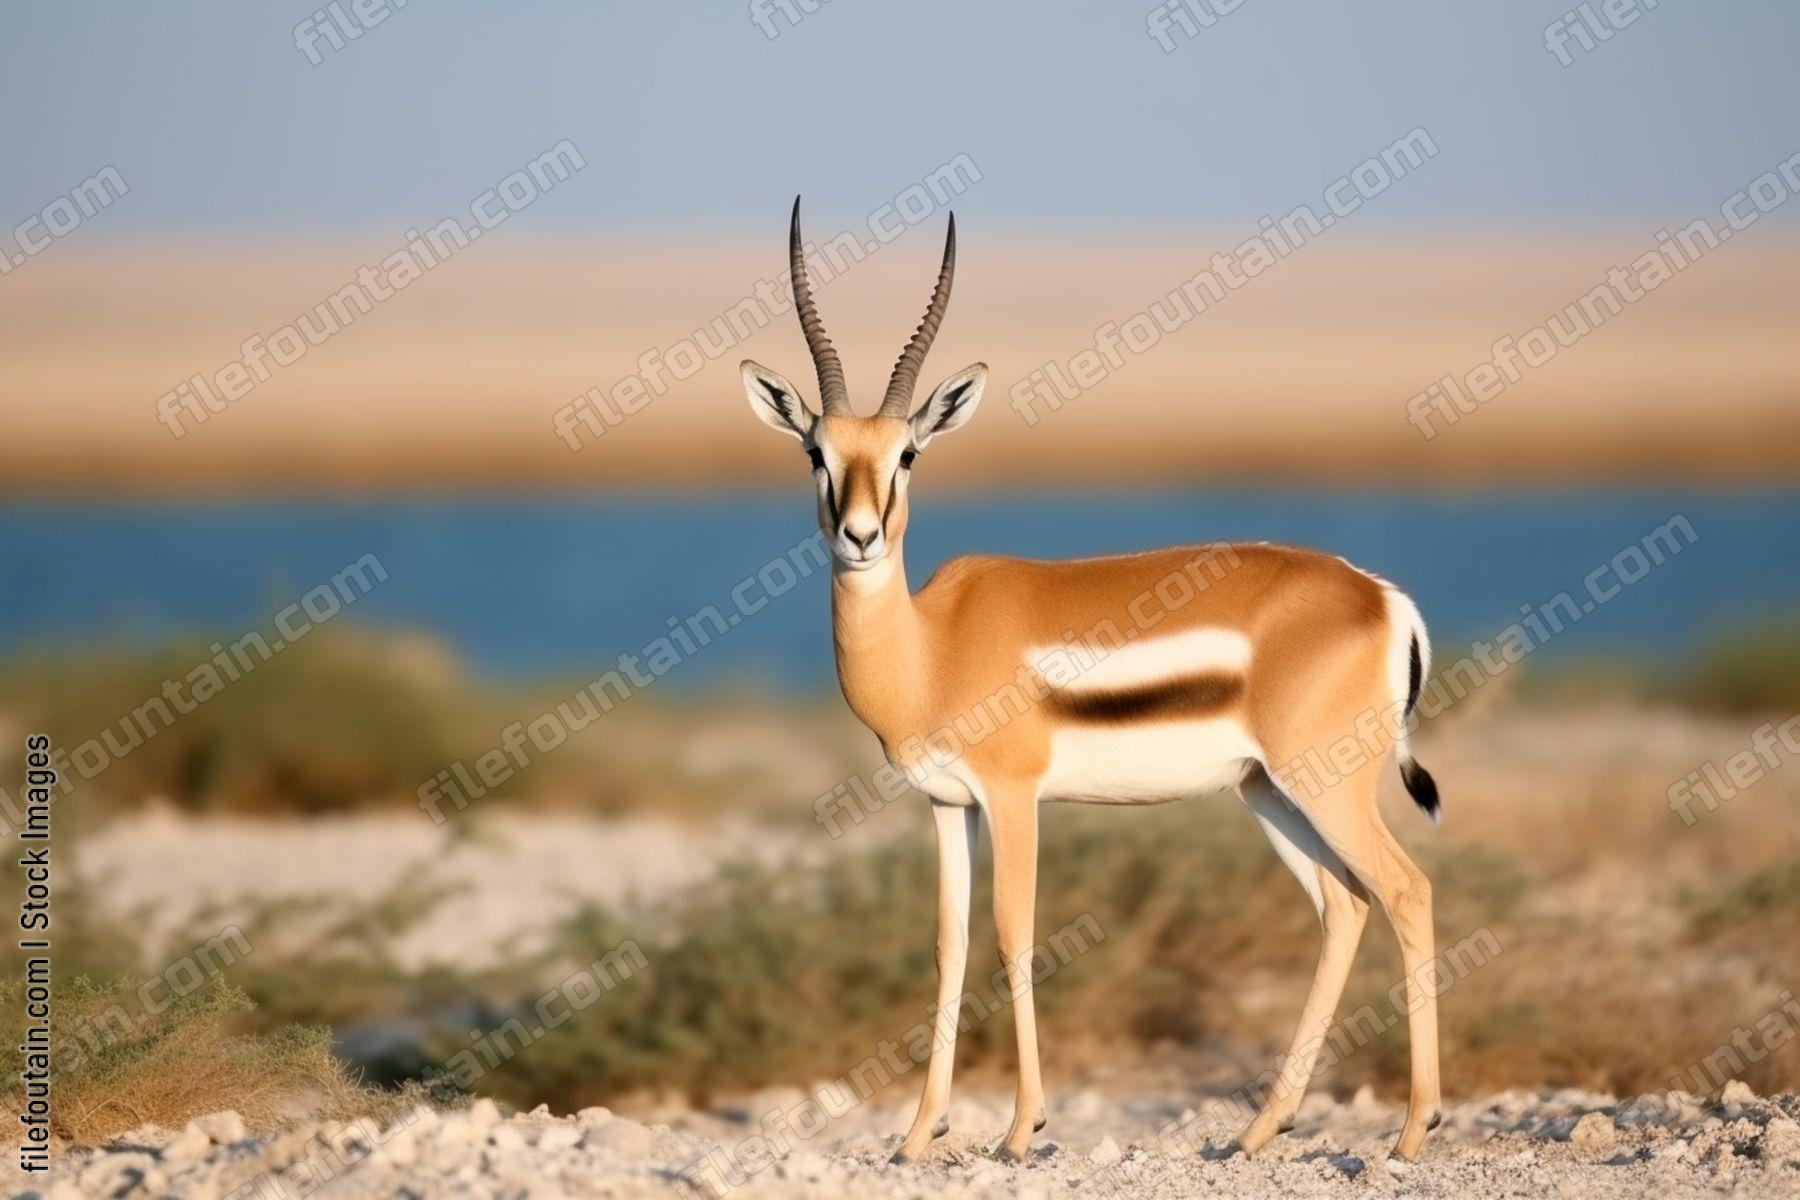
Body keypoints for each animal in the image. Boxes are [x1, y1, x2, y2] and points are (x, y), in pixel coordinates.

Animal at [741, 199, 1444, 1164]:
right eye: (816, 450)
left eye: (909, 455)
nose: (858, 536)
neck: (932, 646)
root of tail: (1380, 595)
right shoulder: (947, 804)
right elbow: (949, 945)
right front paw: (919, 1135)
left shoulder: (1013, 798)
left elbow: (1015, 935)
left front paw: (1020, 1129)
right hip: (1269, 793)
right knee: (1344, 908)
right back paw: (1260, 1130)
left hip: (1326, 784)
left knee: (1406, 891)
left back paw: (1413, 1132)